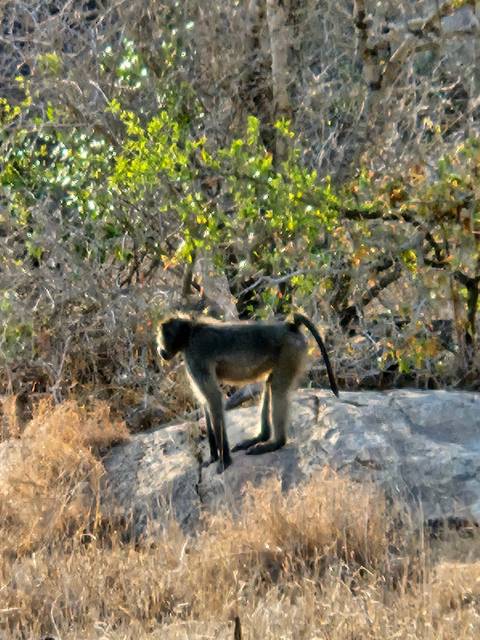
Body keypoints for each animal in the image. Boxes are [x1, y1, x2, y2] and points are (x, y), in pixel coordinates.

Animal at [157, 313, 338, 473]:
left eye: (160, 336)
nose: (160, 351)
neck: (189, 332)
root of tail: (289, 326)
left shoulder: (195, 355)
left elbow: (213, 399)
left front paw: (224, 461)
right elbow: (206, 404)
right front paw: (213, 457)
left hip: (290, 352)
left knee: (277, 389)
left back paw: (276, 443)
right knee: (270, 383)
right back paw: (261, 437)